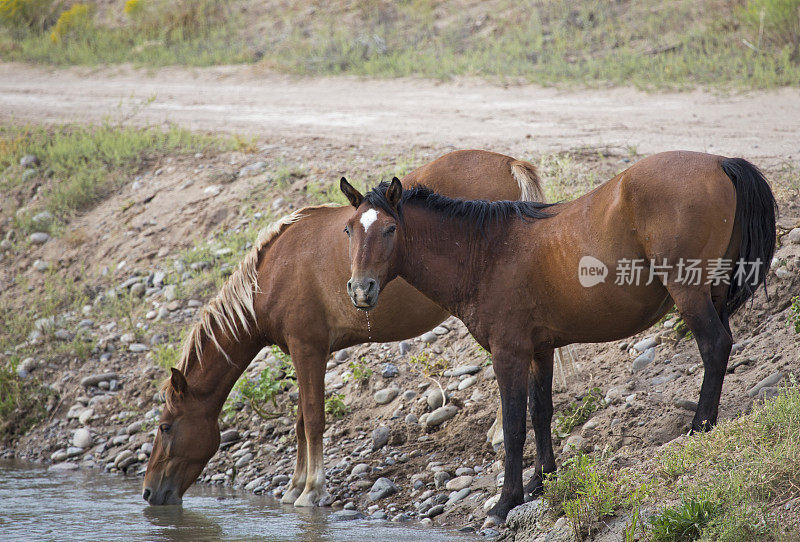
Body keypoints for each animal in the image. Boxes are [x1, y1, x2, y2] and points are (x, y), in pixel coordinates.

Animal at [142, 150, 552, 510]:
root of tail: (510, 163)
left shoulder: (308, 348)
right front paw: (295, 486)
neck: (271, 275)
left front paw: (312, 490)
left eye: (165, 427)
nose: (148, 492)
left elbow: (313, 420)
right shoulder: (309, 352)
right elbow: (300, 421)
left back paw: (498, 436)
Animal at [340, 151, 780, 524]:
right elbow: (541, 412)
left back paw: (700, 425)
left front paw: (507, 500)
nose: (361, 290)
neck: (485, 252)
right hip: (714, 292)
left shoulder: (509, 353)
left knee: (715, 346)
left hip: (689, 293)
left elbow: (514, 424)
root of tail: (721, 162)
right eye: (348, 230)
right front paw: (542, 480)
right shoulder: (540, 350)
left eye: (390, 229)